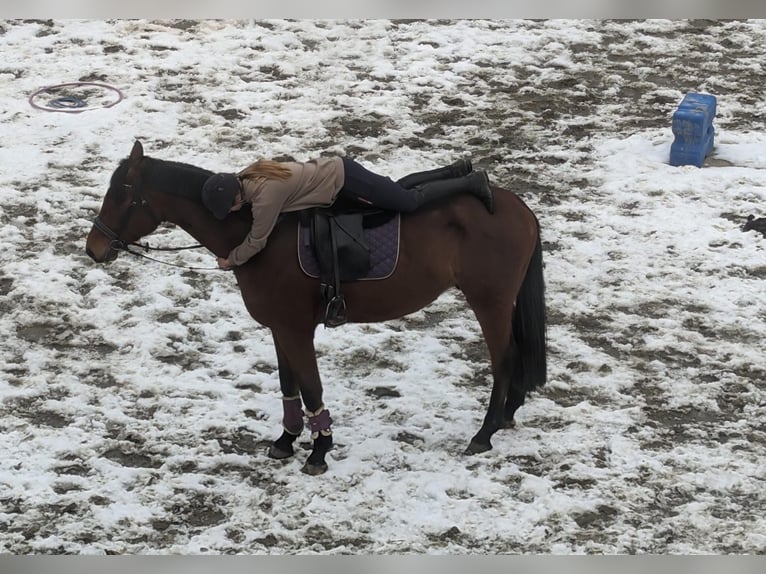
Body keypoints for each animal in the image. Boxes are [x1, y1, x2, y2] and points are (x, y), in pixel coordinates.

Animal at [85, 140, 547, 475]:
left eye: (123, 193)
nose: (94, 248)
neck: (259, 234)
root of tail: (519, 208)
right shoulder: (279, 329)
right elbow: (289, 384)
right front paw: (286, 440)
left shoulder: (294, 328)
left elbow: (311, 387)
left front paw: (319, 450)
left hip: (488, 301)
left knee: (505, 359)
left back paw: (485, 432)